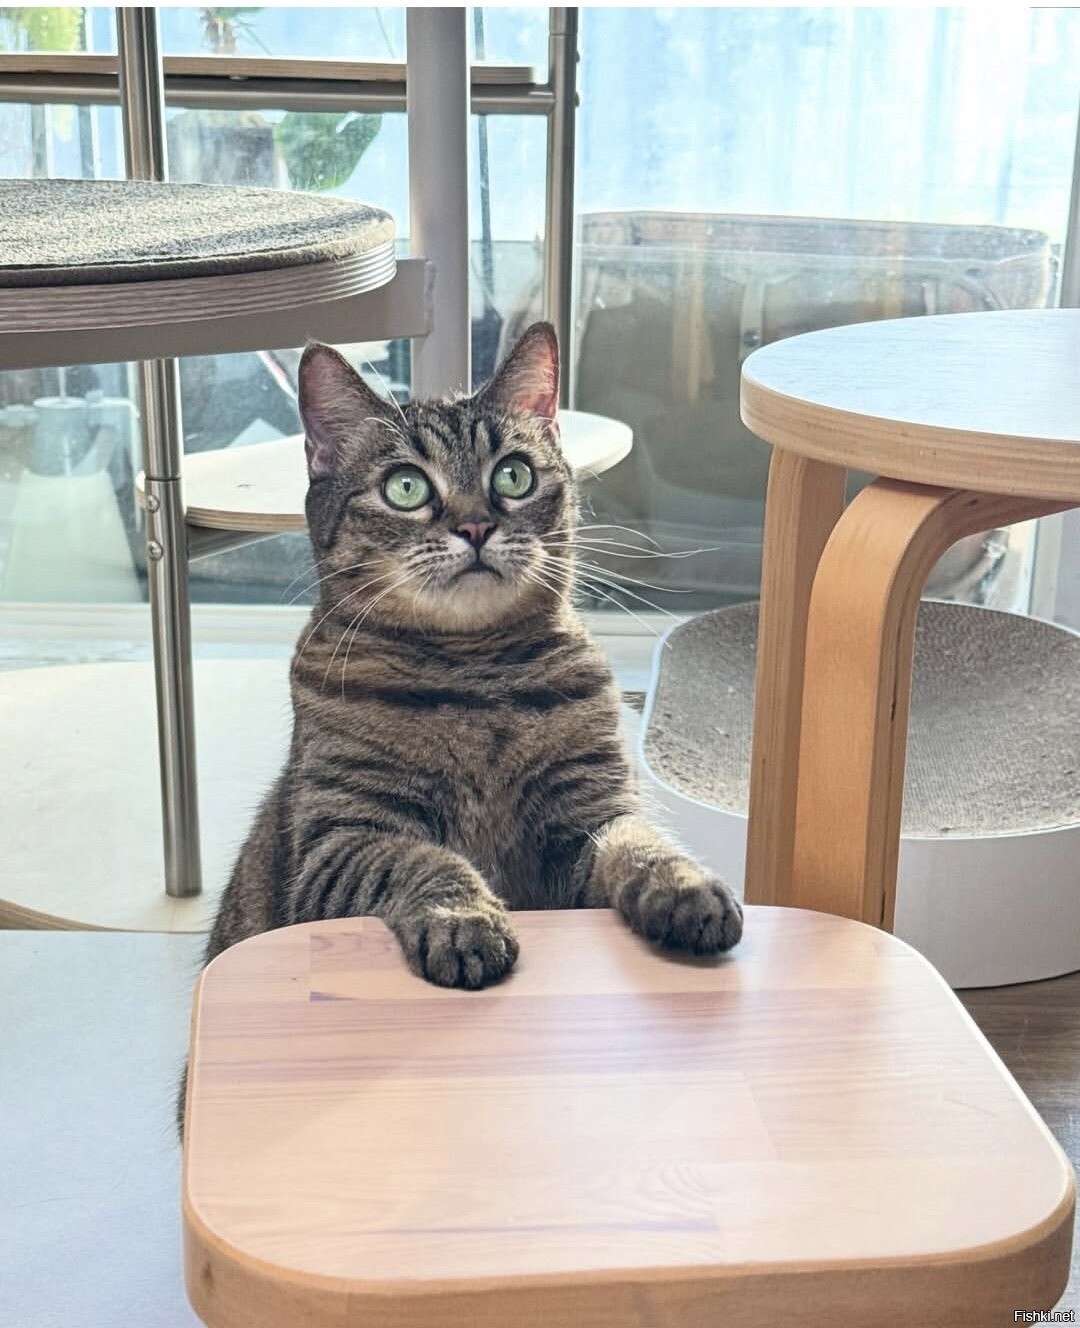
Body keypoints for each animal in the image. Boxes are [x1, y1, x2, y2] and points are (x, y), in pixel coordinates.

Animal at [178, 322, 741, 1133]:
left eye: (514, 475)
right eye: (406, 487)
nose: (476, 524)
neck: (477, 680)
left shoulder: (588, 816)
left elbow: (640, 843)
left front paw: (686, 885)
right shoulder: (343, 837)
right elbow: (425, 859)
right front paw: (465, 920)